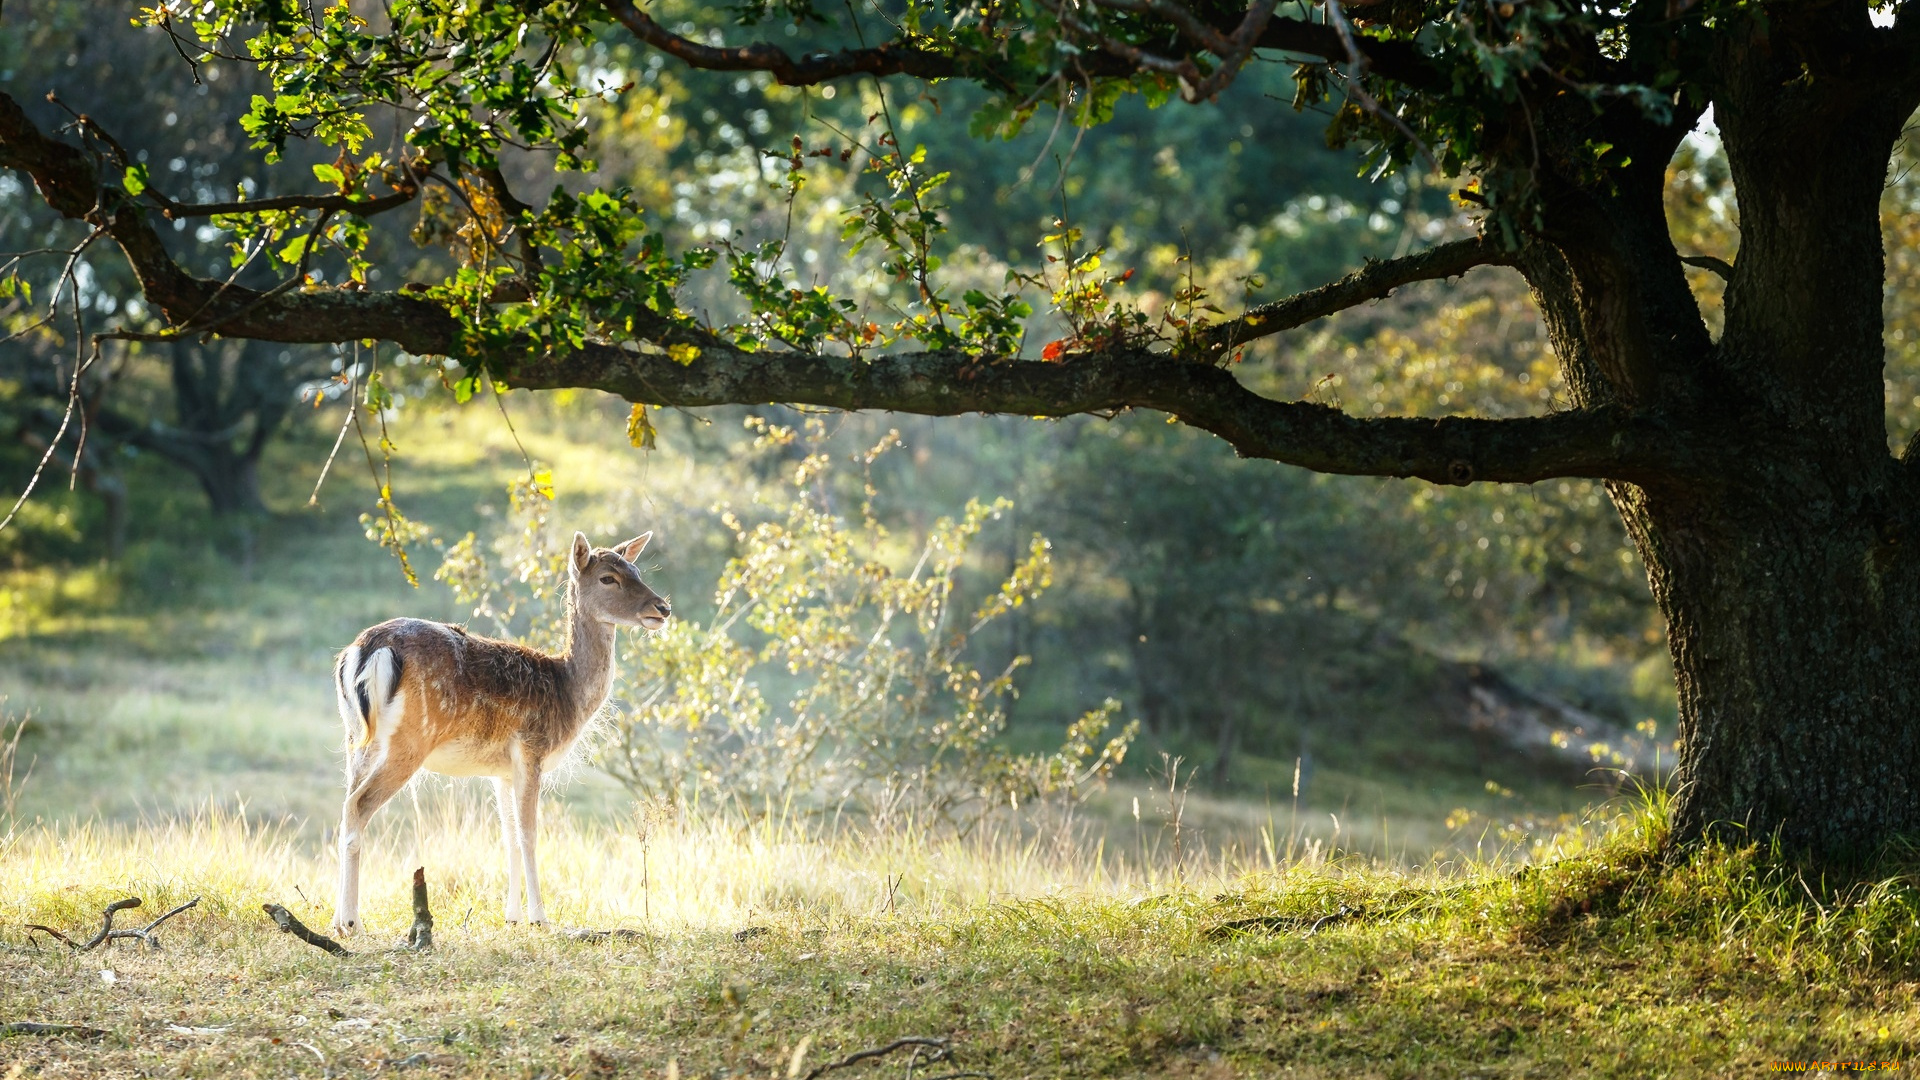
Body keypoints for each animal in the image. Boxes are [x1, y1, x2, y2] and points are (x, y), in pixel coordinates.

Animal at [324, 526, 668, 930]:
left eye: (637, 571)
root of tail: (366, 650)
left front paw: (513, 917)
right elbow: (529, 834)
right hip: (409, 741)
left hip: (356, 739)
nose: (662, 608)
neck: (566, 690)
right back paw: (351, 923)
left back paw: (336, 918)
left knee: (344, 806)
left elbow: (509, 838)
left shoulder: (501, 770)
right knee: (358, 806)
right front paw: (539, 918)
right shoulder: (531, 750)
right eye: (608, 578)